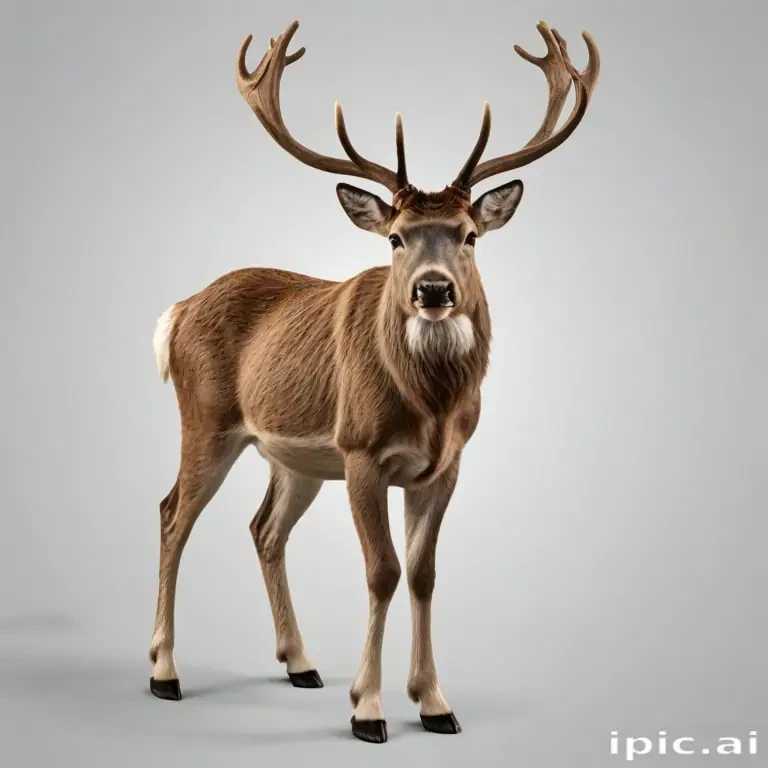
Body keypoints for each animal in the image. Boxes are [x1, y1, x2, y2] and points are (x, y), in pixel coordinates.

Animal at [148, 18, 599, 744]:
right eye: (395, 236)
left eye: (470, 235)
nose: (433, 290)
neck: (432, 407)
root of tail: (180, 309)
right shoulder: (362, 452)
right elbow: (382, 571)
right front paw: (368, 709)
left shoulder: (445, 464)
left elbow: (424, 573)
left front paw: (436, 703)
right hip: (207, 418)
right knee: (172, 515)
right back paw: (165, 672)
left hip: (294, 459)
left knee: (263, 528)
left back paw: (301, 663)